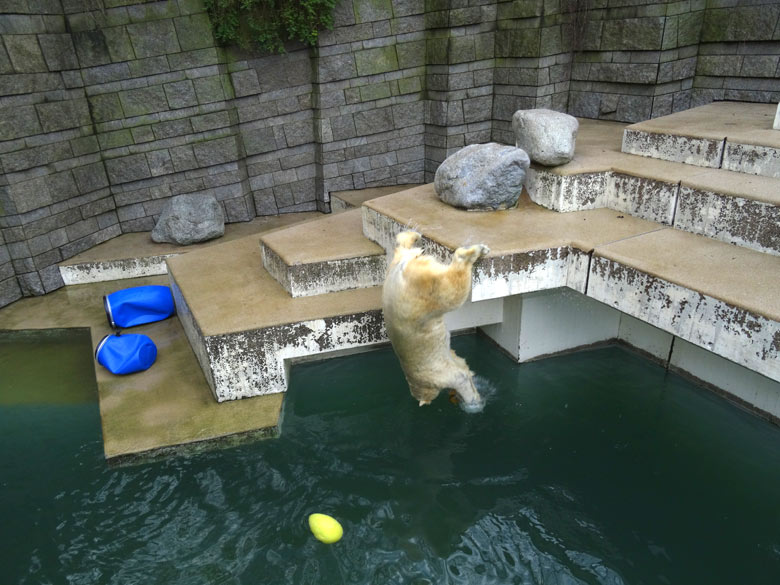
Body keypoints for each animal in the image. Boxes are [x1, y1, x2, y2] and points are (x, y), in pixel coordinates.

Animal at [382, 230, 488, 408]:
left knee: (451, 292)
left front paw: (473, 402)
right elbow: (463, 367)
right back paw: (414, 236)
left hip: (422, 294)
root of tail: (401, 270)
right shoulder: (450, 362)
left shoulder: (438, 376)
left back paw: (472, 252)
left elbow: (461, 380)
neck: (418, 381)